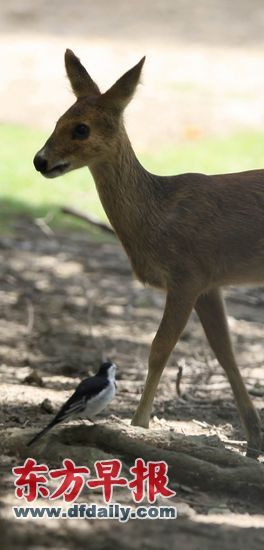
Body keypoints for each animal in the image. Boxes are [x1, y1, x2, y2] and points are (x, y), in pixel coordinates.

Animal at [33, 49, 264, 460]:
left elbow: (159, 348)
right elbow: (225, 352)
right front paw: (254, 441)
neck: (157, 217)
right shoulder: (209, 283)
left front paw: (138, 423)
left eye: (81, 129)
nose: (39, 160)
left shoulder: (187, 274)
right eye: (57, 119)